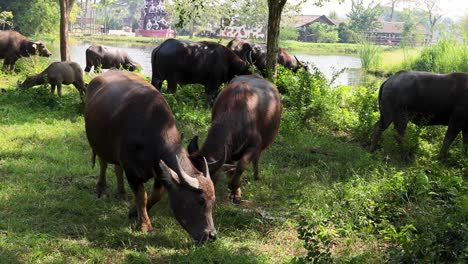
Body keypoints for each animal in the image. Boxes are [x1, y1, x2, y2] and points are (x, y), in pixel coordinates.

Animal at [85, 70, 218, 243]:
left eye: (212, 201)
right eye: (200, 201)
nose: (211, 235)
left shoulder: (159, 171)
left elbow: (156, 195)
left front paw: (134, 212)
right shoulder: (132, 171)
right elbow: (142, 195)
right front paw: (144, 225)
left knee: (117, 168)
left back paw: (121, 193)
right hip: (100, 145)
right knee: (103, 164)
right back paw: (101, 188)